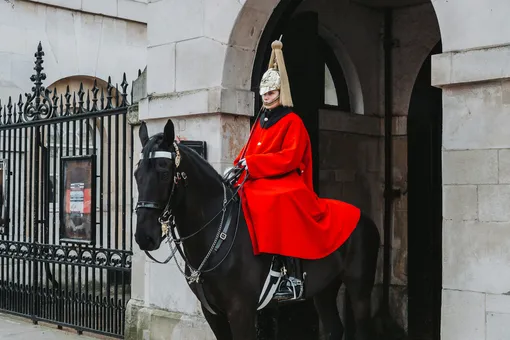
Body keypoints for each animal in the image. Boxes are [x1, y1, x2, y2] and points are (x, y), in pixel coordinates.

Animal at [133, 118, 380, 338]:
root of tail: (364, 216)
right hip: (324, 289)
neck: (217, 235)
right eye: (136, 174)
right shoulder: (213, 313)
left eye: (164, 172)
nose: (144, 237)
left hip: (359, 291)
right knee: (334, 328)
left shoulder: (241, 310)